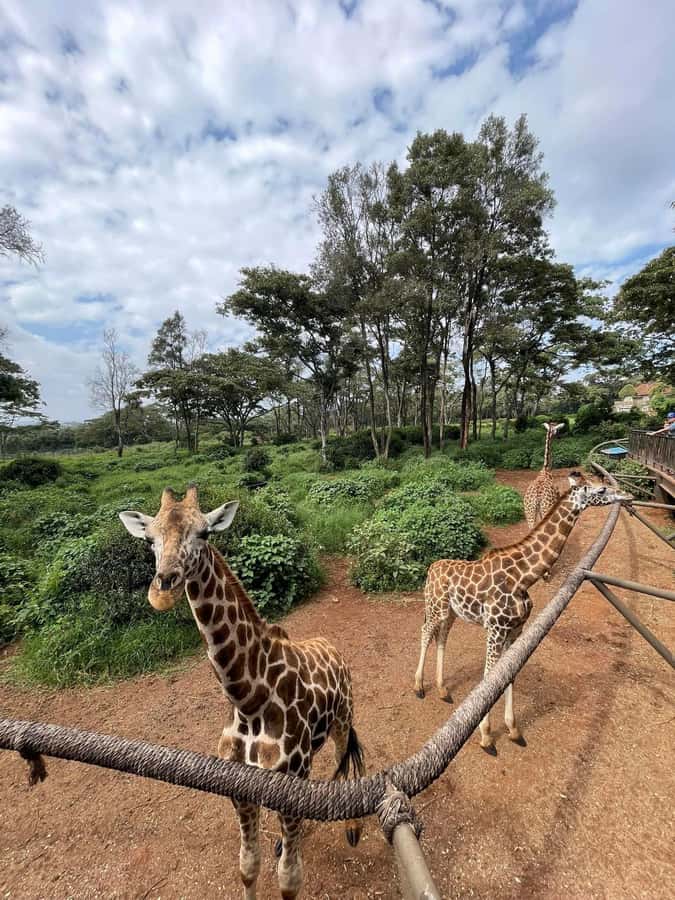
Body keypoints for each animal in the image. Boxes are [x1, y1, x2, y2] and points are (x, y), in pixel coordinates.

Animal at [120, 485, 365, 900]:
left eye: (205, 533)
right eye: (149, 539)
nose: (165, 584)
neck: (248, 700)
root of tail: (332, 647)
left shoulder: (286, 789)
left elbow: (289, 880)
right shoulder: (240, 792)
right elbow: (248, 867)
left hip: (343, 721)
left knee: (343, 762)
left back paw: (351, 826)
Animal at [414, 473, 629, 753]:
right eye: (601, 489)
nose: (627, 495)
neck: (524, 577)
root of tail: (431, 568)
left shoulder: (516, 629)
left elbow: (509, 676)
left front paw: (514, 731)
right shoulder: (495, 629)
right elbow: (488, 677)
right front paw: (486, 737)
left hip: (450, 612)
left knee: (441, 637)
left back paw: (443, 690)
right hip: (435, 606)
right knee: (425, 632)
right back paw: (419, 687)